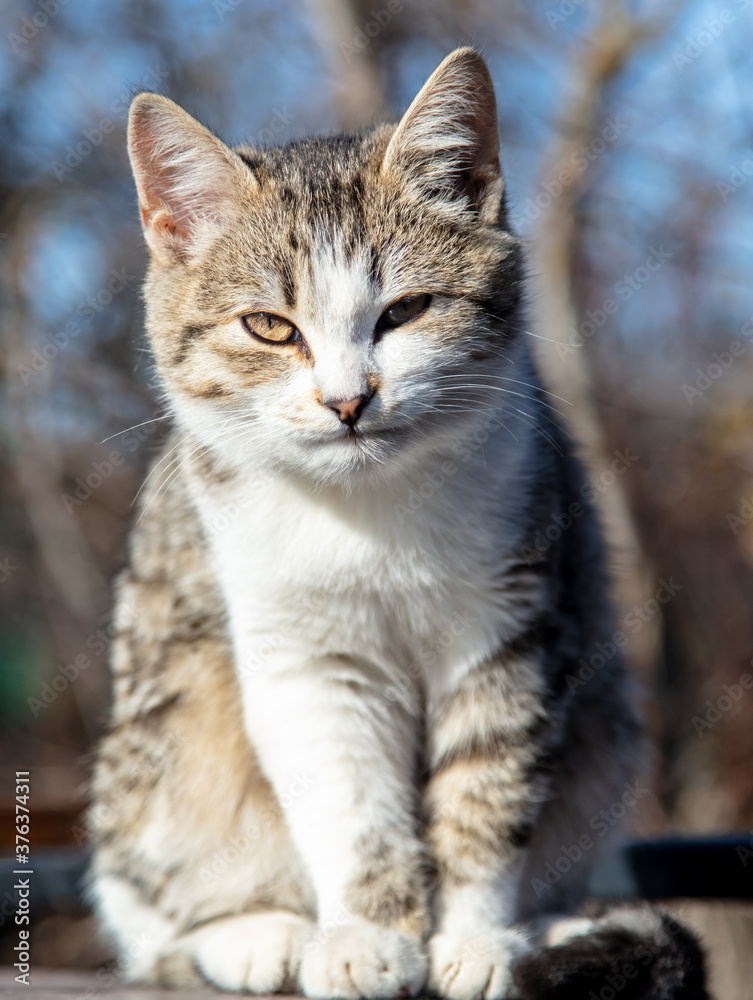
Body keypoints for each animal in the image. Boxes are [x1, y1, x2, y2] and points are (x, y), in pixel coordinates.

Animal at [88, 48, 704, 1000]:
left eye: (406, 311)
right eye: (268, 326)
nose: (347, 401)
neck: (369, 513)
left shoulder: (512, 626)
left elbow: (486, 793)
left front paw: (476, 939)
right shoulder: (305, 656)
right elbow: (350, 806)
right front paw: (367, 937)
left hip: (607, 731)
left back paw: (552, 926)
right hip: (160, 733)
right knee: (151, 914)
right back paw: (256, 934)